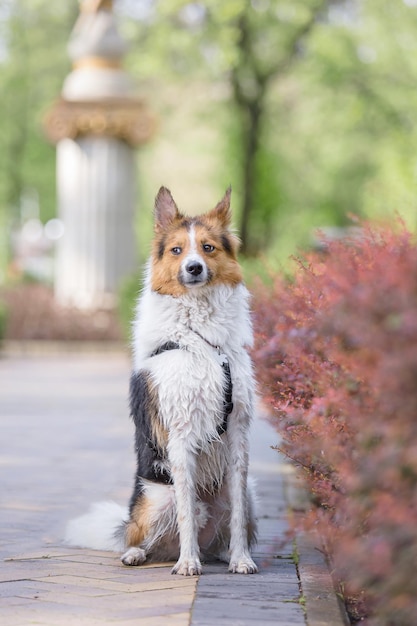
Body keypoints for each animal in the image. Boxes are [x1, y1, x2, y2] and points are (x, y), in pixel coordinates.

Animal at [66, 186, 256, 576]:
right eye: (177, 251)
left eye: (208, 248)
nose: (194, 267)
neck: (201, 337)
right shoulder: (181, 432)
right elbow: (185, 510)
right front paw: (188, 562)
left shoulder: (238, 431)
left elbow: (237, 519)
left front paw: (241, 559)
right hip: (154, 499)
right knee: (141, 535)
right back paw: (139, 553)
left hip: (250, 494)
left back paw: (221, 554)